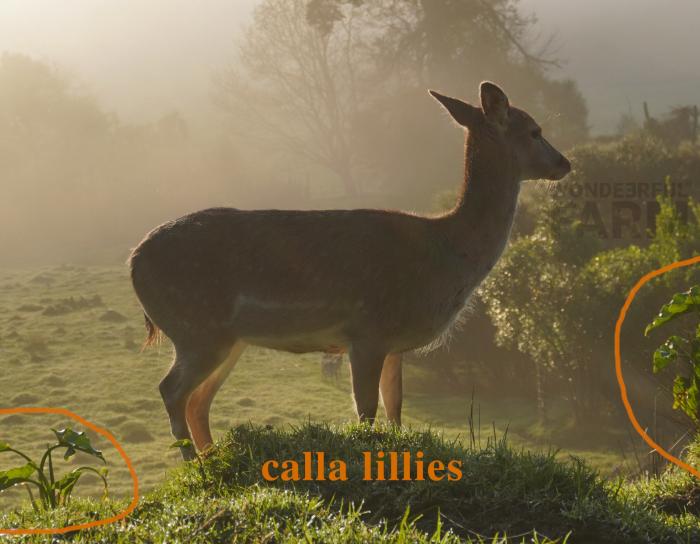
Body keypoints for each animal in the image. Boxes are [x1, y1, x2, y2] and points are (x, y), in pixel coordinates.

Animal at [129, 82, 570, 460]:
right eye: (535, 130)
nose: (565, 163)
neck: (444, 252)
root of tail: (133, 262)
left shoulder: (392, 343)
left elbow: (395, 408)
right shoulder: (367, 330)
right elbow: (367, 411)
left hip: (225, 339)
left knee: (198, 401)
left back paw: (211, 458)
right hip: (196, 327)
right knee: (172, 391)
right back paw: (194, 464)